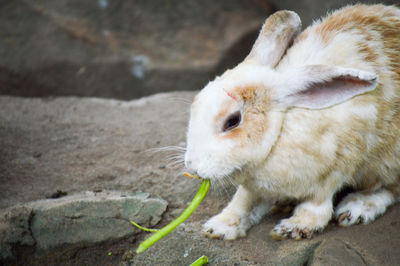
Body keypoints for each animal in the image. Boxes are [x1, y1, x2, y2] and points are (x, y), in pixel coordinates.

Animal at [184, 3, 400, 241]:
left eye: (232, 121)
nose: (191, 166)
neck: (279, 130)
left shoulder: (338, 164)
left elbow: (318, 202)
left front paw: (295, 227)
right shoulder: (254, 187)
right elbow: (243, 201)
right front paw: (219, 227)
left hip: (389, 160)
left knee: (389, 189)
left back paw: (357, 208)